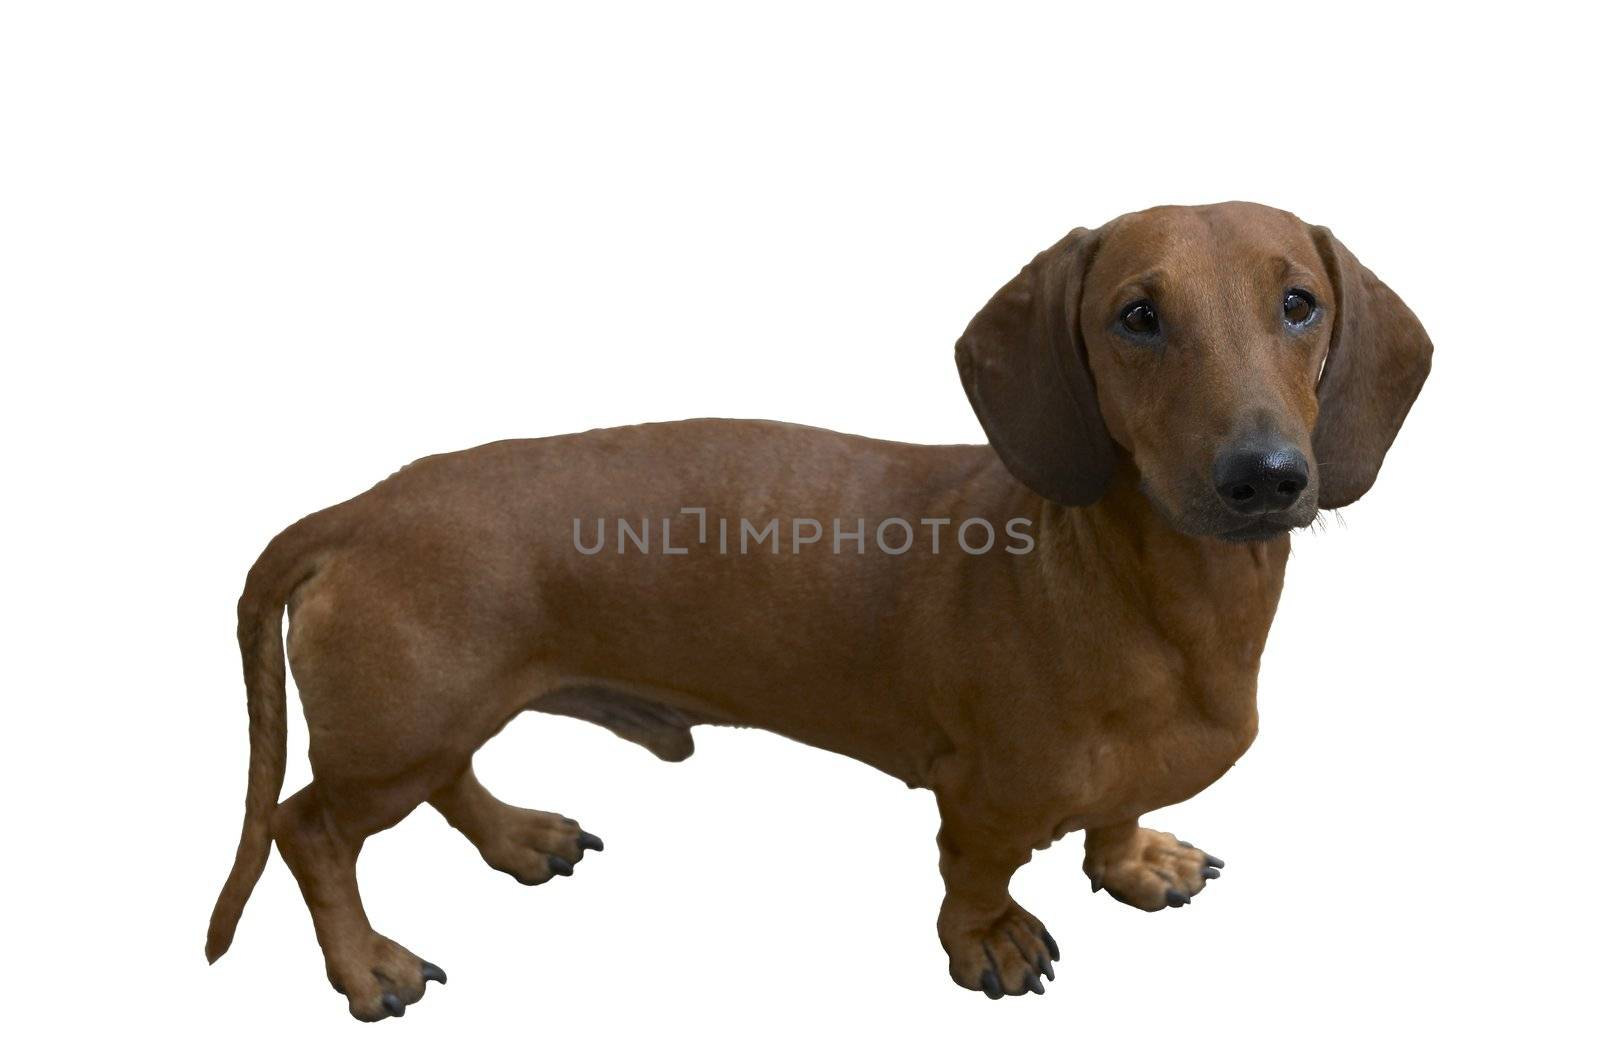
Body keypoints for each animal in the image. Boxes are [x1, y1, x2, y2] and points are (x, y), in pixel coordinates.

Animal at [206, 201, 1433, 1023]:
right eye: (1137, 315)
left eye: (1299, 303)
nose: (1265, 477)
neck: (1146, 595)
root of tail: (353, 513)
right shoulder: (981, 798)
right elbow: (974, 877)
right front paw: (989, 943)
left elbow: (1115, 814)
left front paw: (1133, 861)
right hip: (399, 731)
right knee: (309, 829)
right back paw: (367, 966)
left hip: (441, 713)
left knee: (450, 779)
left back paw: (519, 839)